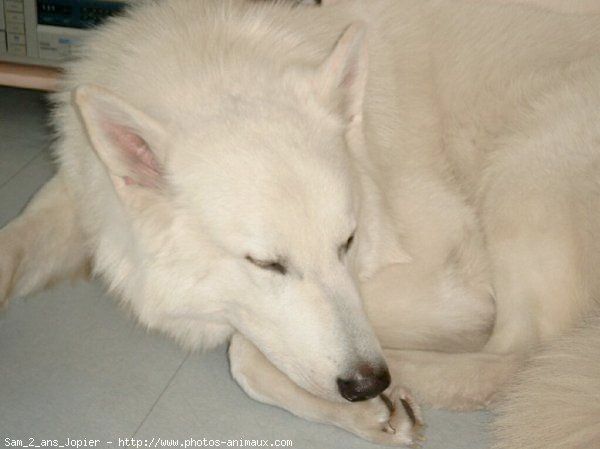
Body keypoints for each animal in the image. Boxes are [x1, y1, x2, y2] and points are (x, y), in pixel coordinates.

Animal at [1, 1, 600, 446]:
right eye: (266, 263)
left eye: (348, 242)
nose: (369, 382)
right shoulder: (81, 195)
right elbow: (14, 246)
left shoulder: (458, 280)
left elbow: (244, 351)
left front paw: (366, 408)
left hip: (525, 165)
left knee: (515, 360)